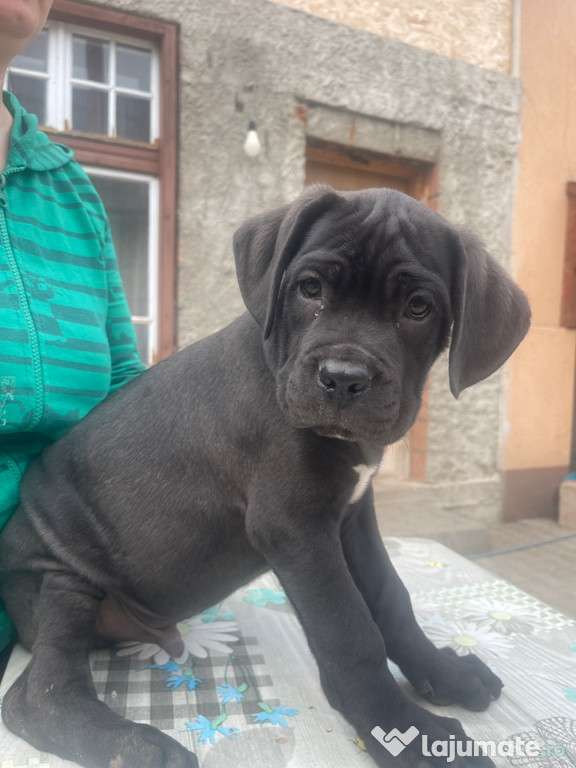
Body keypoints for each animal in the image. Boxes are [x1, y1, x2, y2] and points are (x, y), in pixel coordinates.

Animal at [0, 186, 532, 768]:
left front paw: (443, 672)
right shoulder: (295, 525)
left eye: (419, 307)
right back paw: (140, 747)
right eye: (310, 288)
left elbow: (391, 597)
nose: (343, 379)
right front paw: (405, 731)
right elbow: (350, 630)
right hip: (60, 578)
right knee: (38, 695)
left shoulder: (351, 516)